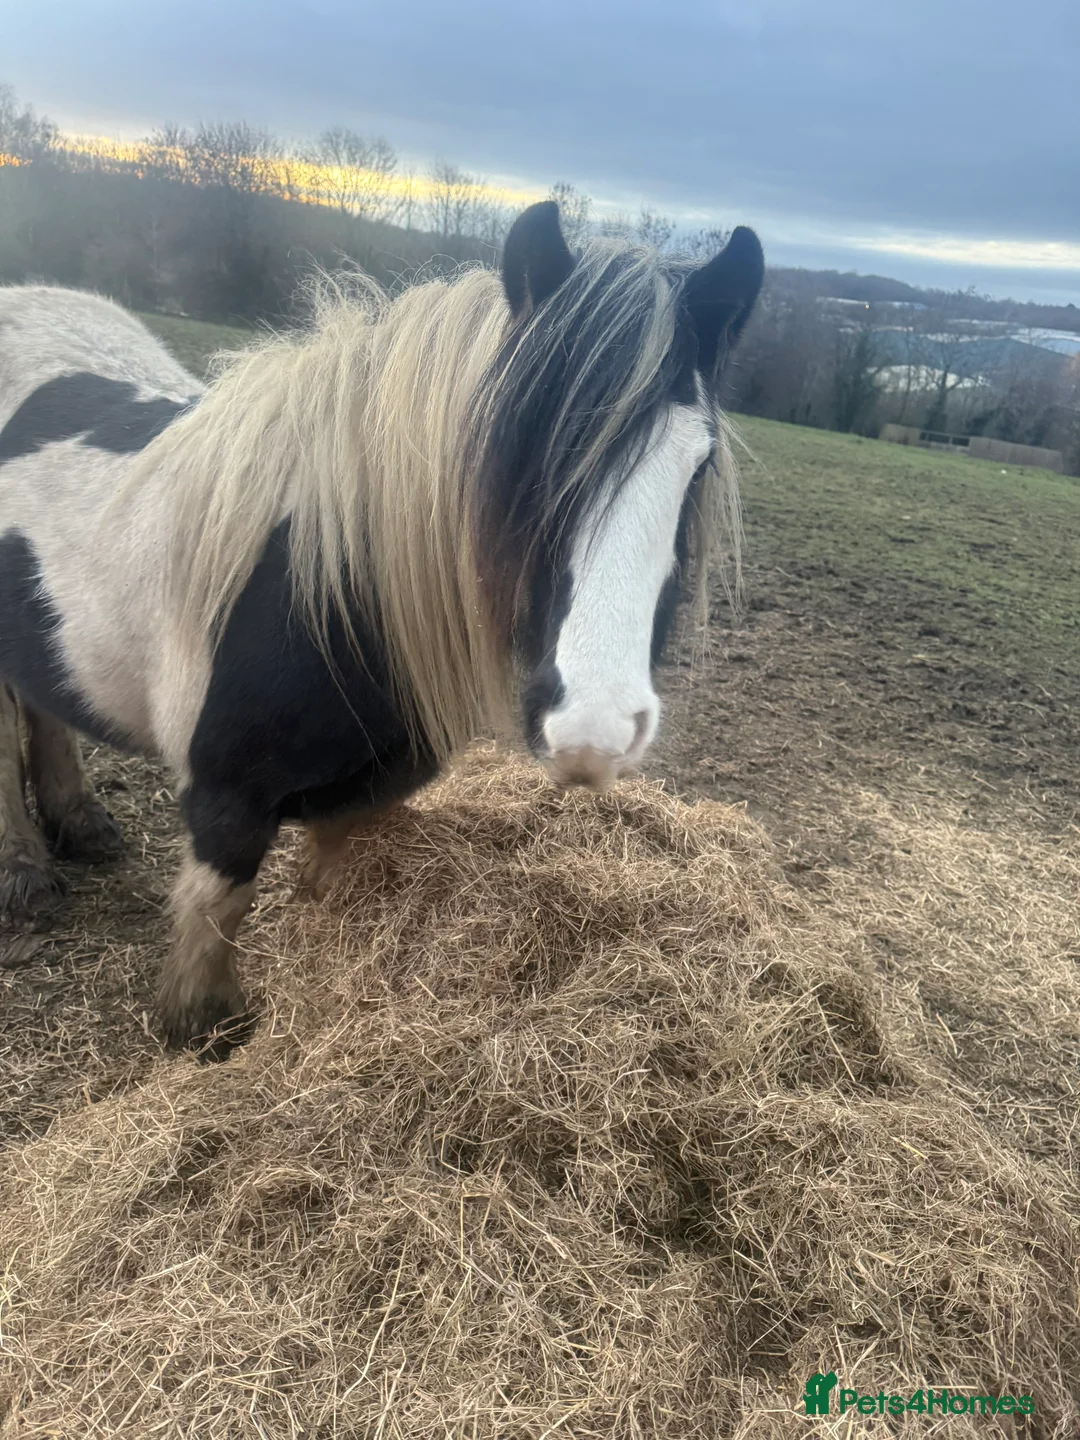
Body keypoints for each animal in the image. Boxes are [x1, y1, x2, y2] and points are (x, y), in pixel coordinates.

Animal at [0, 200, 763, 1054]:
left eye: (697, 466)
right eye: (513, 457)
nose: (591, 732)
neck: (320, 590)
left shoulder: (363, 799)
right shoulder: (225, 805)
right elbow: (214, 931)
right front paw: (206, 1037)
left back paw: (78, 824)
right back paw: (24, 872)